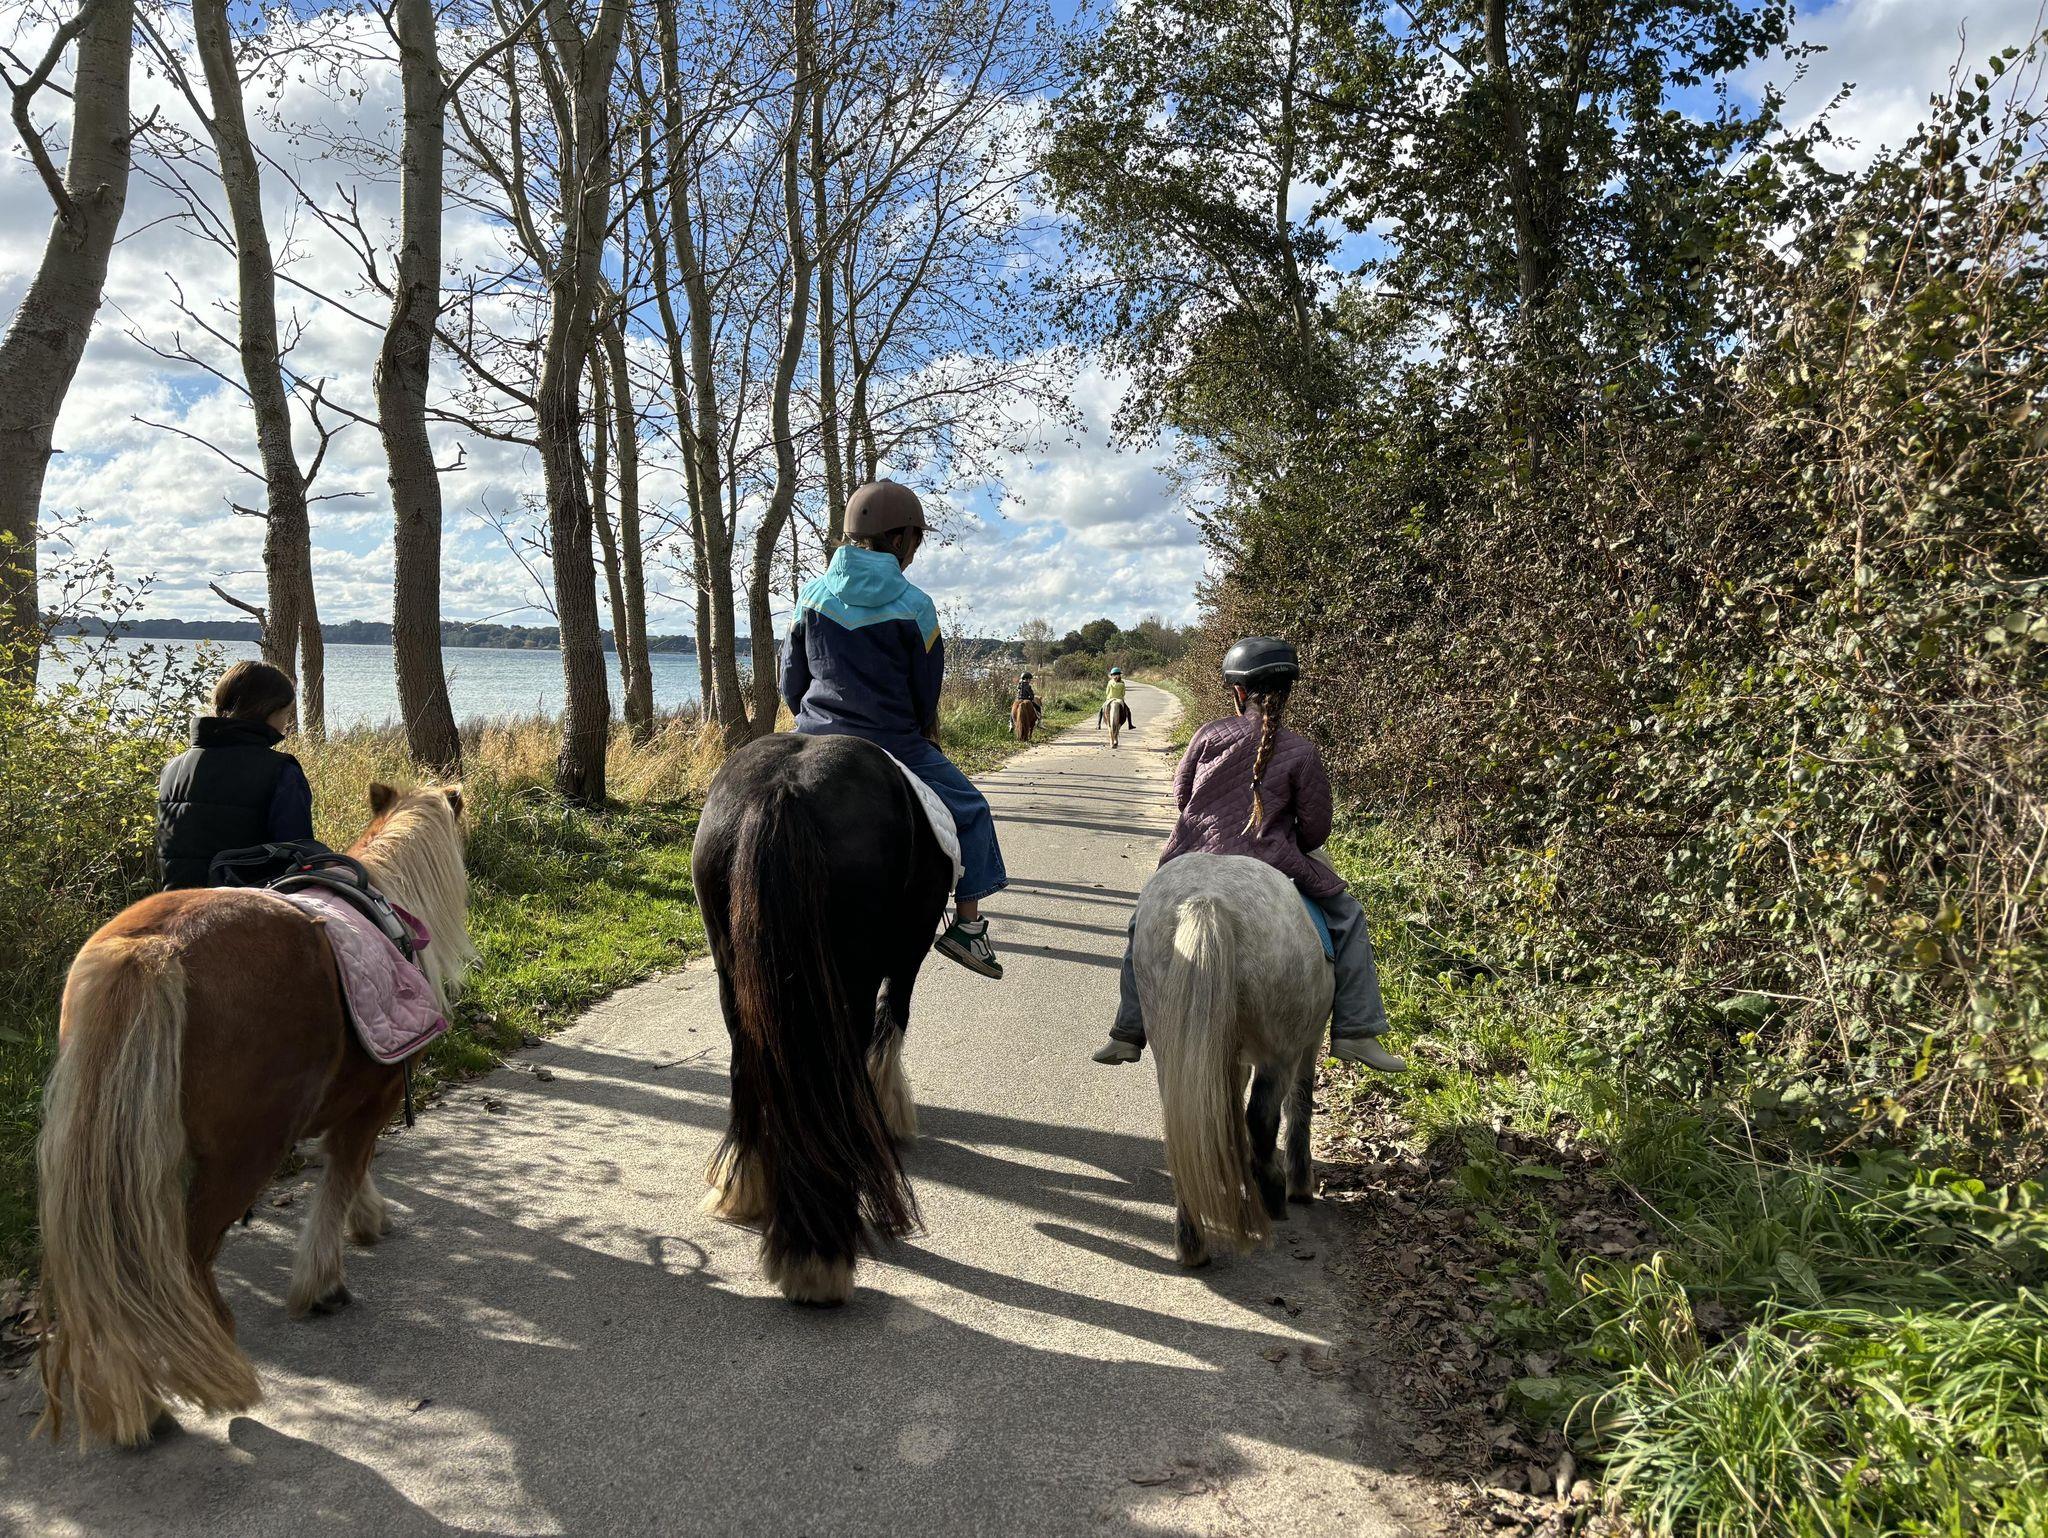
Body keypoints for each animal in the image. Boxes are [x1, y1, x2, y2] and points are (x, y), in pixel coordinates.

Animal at [35, 783, 474, 1448]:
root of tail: (153, 951)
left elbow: (345, 1171)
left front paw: (368, 1220)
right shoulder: (370, 1101)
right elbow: (344, 1172)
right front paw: (323, 1283)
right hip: (240, 1160)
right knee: (181, 1265)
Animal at [691, 731, 953, 1304]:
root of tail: (784, 787)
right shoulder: (909, 953)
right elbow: (893, 1020)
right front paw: (889, 1112)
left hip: (733, 974)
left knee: (746, 1064)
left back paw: (744, 1186)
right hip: (849, 979)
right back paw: (818, 1254)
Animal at [1132, 853, 1331, 1268]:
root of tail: (1207, 901)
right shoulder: (1309, 1040)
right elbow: (1301, 1101)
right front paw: (1300, 1184)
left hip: (1174, 1045)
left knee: (1187, 1117)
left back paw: (1192, 1241)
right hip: (1279, 1052)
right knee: (1263, 1115)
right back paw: (1271, 1191)